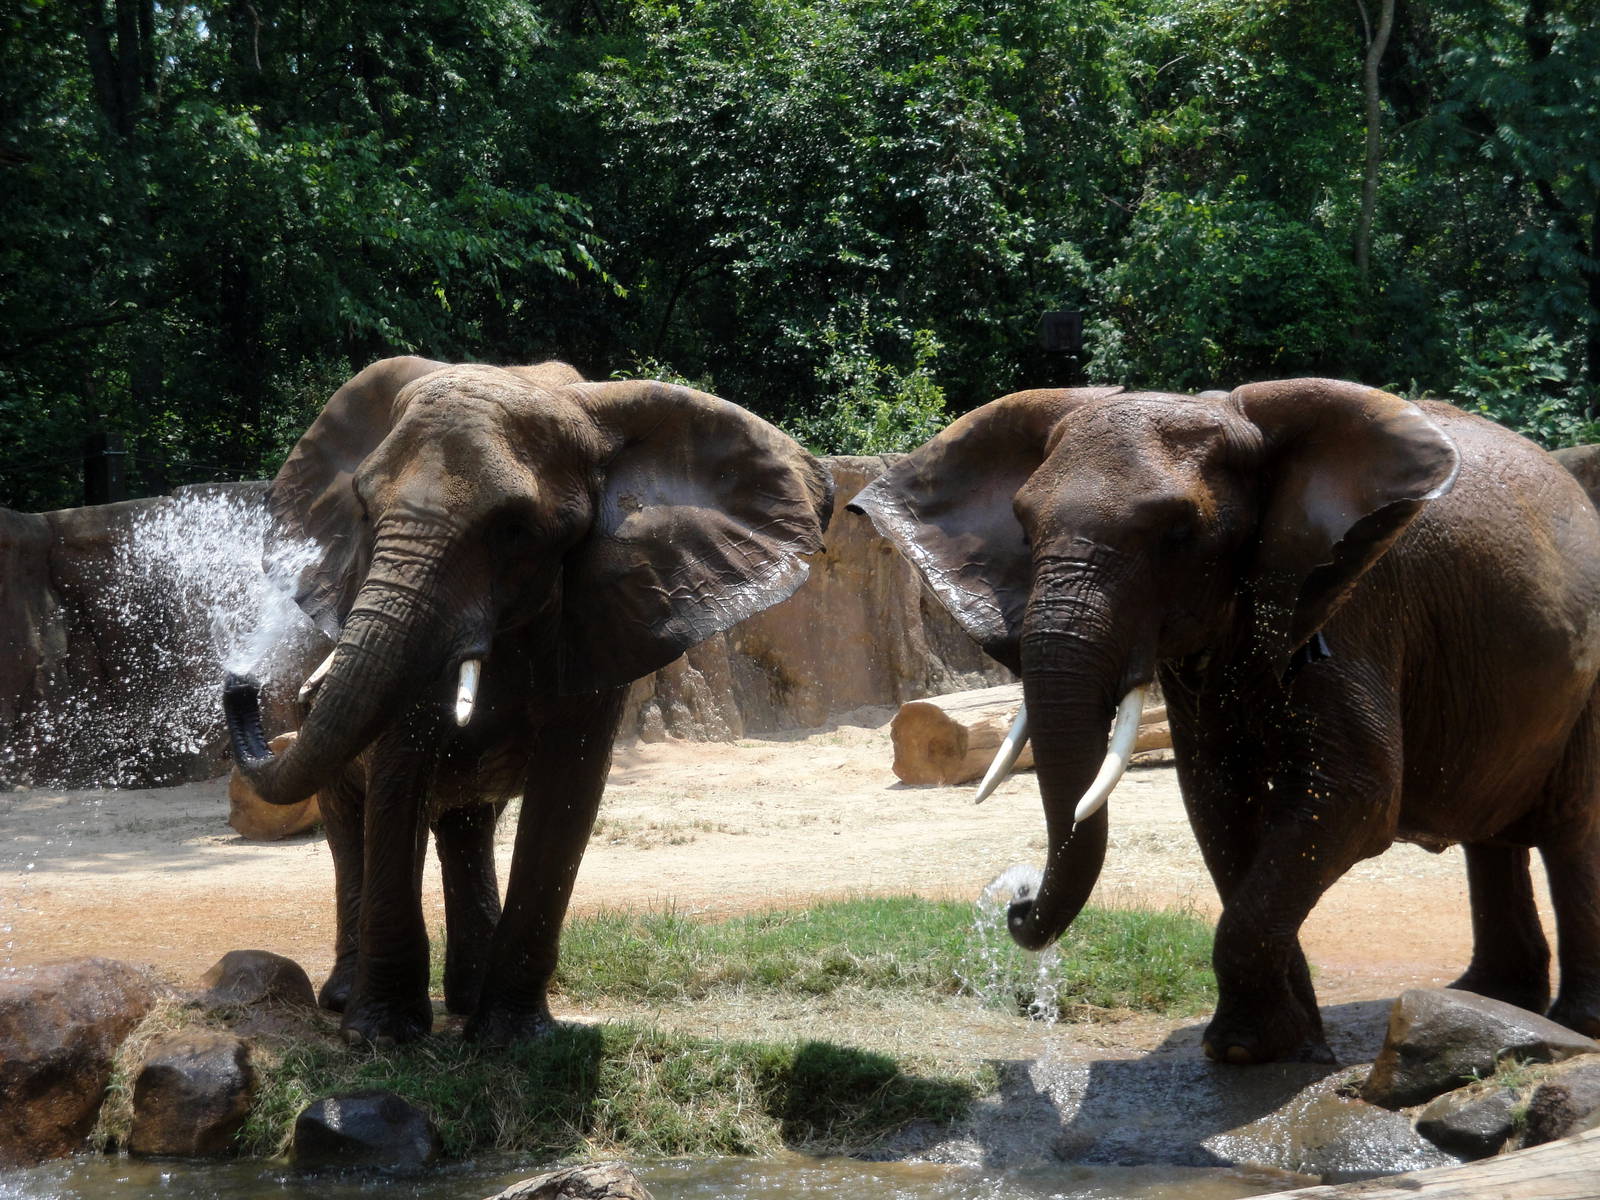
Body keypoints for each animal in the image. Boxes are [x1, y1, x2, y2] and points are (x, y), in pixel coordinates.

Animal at [223, 357, 832, 1047]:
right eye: (364, 508)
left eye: (515, 531)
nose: (239, 682)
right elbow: (399, 773)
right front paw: (381, 1040)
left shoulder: (603, 618)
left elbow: (567, 790)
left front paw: (511, 1040)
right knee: (351, 824)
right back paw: (348, 1000)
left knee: (465, 823)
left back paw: (464, 1001)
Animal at [850, 378, 1600, 1064]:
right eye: (1024, 529)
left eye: (1179, 534)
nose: (1016, 896)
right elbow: (1215, 801)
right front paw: (1266, 1046)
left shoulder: (1350, 604)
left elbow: (1354, 797)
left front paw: (1249, 1051)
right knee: (1493, 836)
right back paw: (1489, 998)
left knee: (1570, 832)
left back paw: (1571, 1024)